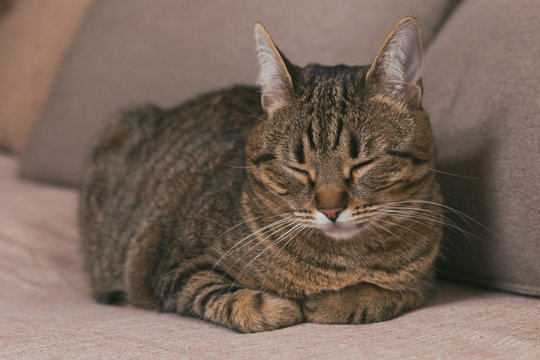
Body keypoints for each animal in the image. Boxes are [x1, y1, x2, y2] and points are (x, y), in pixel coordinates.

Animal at [80, 16, 442, 332]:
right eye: (297, 166)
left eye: (363, 163)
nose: (330, 210)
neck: (343, 262)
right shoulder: (173, 265)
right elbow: (227, 298)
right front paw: (284, 305)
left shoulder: (425, 283)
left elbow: (387, 294)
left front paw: (336, 301)